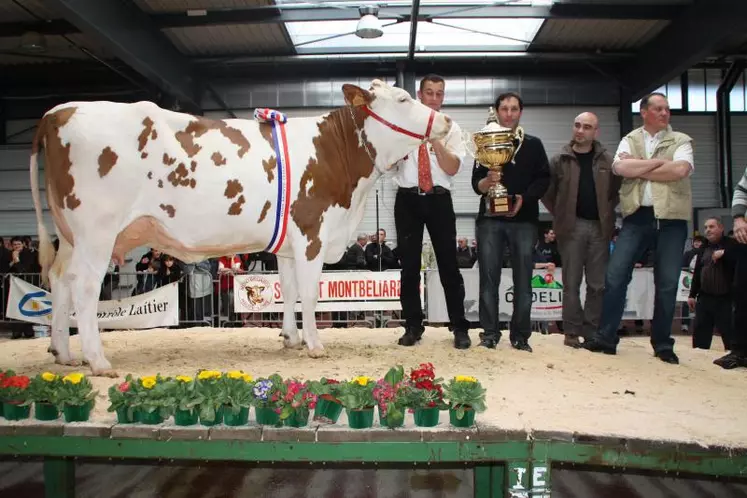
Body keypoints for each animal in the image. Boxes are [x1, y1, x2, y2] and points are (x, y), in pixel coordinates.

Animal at [29, 79, 452, 374]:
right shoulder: (312, 233)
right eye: (403, 100)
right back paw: (97, 360)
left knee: (60, 280)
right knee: (84, 287)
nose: (447, 119)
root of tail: (59, 112)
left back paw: (62, 353)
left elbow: (289, 290)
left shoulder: (289, 243)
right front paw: (314, 344)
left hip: (70, 235)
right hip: (96, 232)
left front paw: (290, 338)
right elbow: (310, 294)